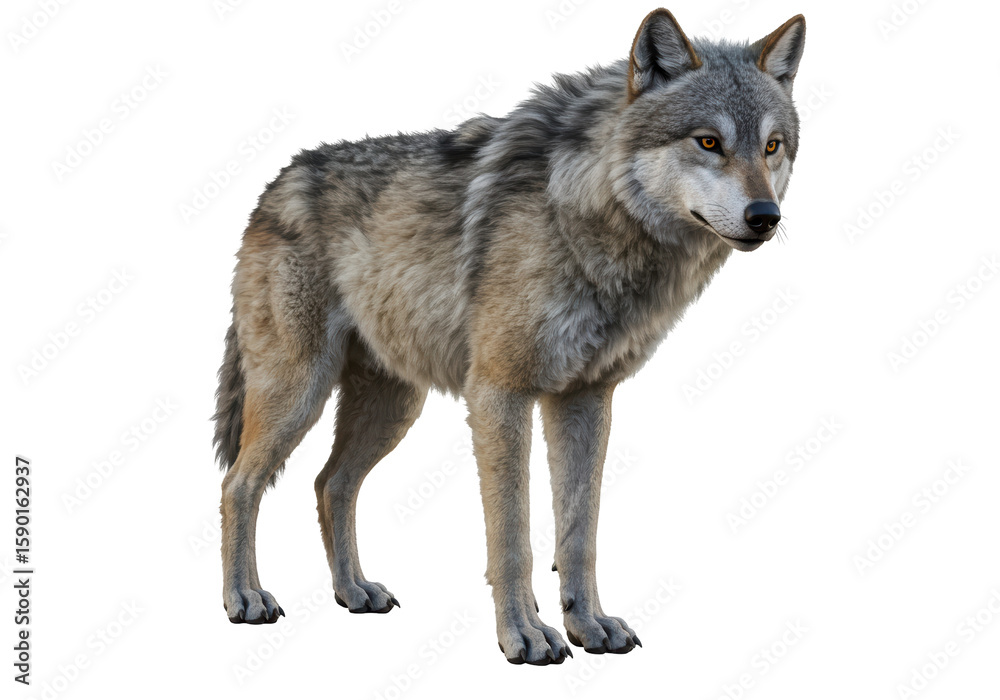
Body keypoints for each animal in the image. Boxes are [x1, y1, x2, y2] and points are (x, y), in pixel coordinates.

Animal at [213, 8, 806, 665]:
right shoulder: (500, 393)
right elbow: (513, 535)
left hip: (394, 407)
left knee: (330, 484)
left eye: (772, 146)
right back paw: (245, 599)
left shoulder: (585, 398)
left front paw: (588, 625)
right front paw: (524, 634)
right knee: (238, 484)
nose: (766, 217)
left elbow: (579, 532)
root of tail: (278, 181)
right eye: (708, 142)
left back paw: (353, 592)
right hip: (299, 393)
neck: (586, 215)